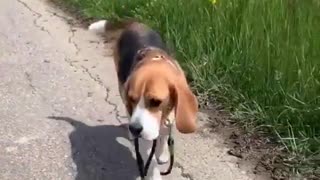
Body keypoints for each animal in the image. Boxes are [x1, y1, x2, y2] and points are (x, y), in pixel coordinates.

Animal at [88, 19, 198, 179]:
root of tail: (133, 23)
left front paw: (162, 153)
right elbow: (150, 162)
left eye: (156, 102)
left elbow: (164, 133)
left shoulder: (169, 118)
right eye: (132, 99)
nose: (134, 129)